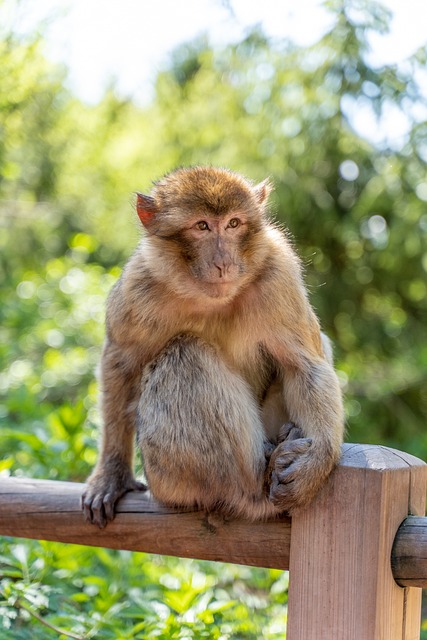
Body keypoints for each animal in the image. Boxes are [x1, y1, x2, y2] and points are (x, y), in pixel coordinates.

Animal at [82, 166, 346, 528]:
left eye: (233, 224)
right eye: (202, 226)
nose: (223, 263)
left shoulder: (280, 274)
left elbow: (305, 365)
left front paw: (316, 462)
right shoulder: (139, 285)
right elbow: (121, 364)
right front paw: (111, 475)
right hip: (169, 477)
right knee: (186, 352)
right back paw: (257, 479)